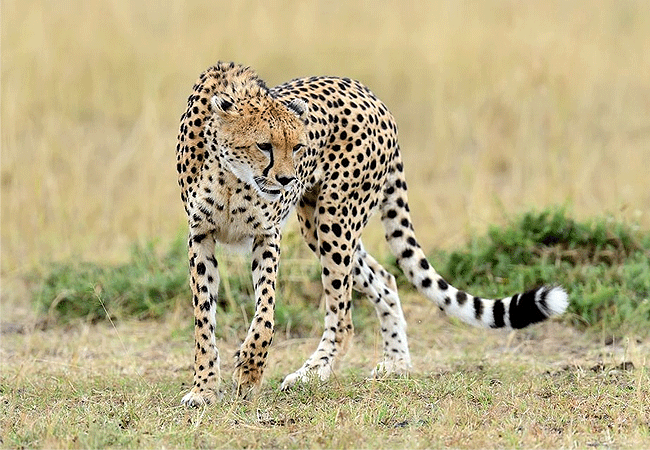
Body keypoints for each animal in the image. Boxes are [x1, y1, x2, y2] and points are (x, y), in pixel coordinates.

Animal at [175, 61, 564, 406]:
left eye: (298, 146)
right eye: (264, 145)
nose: (286, 179)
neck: (231, 175)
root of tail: (371, 95)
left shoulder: (267, 236)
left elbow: (266, 315)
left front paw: (250, 371)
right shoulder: (201, 237)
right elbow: (203, 322)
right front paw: (204, 388)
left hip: (335, 217)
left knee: (344, 317)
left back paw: (312, 372)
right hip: (318, 226)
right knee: (384, 279)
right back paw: (396, 363)